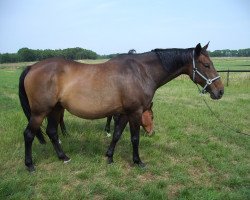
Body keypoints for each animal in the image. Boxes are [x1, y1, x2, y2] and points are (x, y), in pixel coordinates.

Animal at [18, 43, 224, 171]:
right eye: (206, 64)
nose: (220, 91)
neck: (141, 72)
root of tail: (32, 67)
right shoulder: (135, 112)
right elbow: (134, 138)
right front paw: (138, 161)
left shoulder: (124, 113)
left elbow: (116, 134)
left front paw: (109, 157)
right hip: (39, 112)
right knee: (29, 135)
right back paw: (30, 165)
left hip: (55, 109)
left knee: (52, 132)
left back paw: (64, 157)